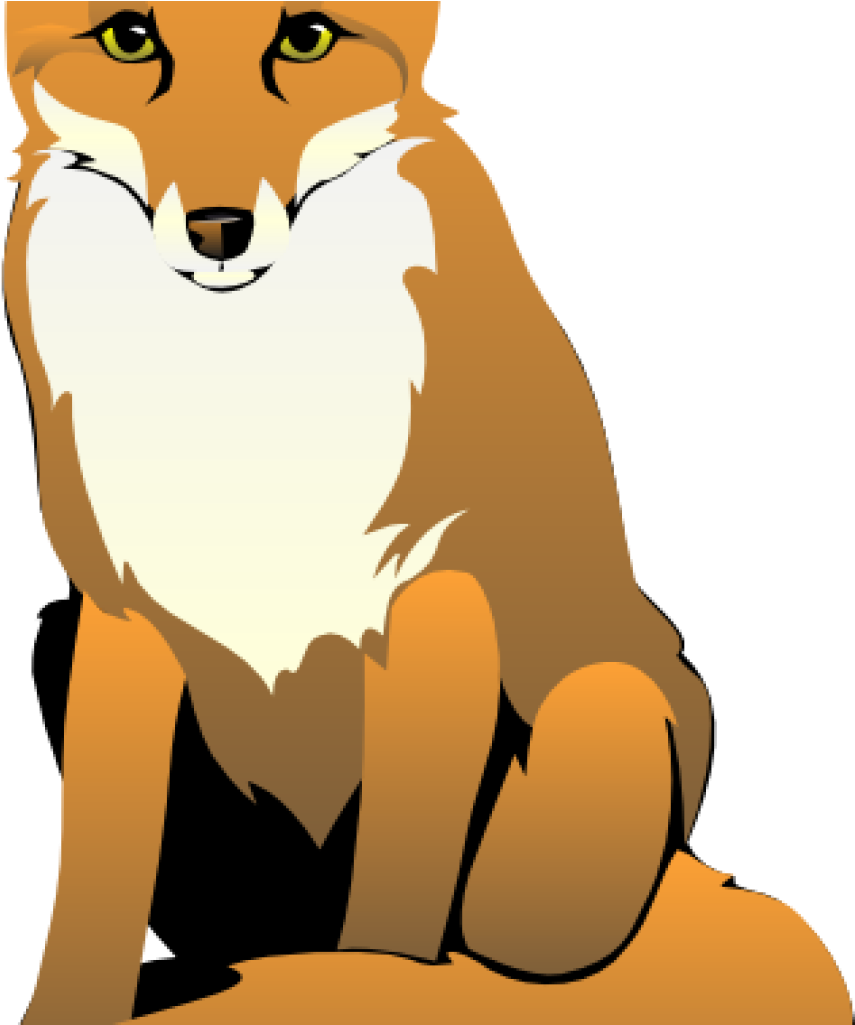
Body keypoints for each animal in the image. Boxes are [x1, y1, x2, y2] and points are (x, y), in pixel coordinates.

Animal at [4, 4, 849, 1024]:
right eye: (129, 38)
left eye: (306, 37)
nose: (219, 230)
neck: (246, 397)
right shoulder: (121, 612)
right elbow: (96, 888)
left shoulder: (437, 595)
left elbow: (395, 895)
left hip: (593, 730)